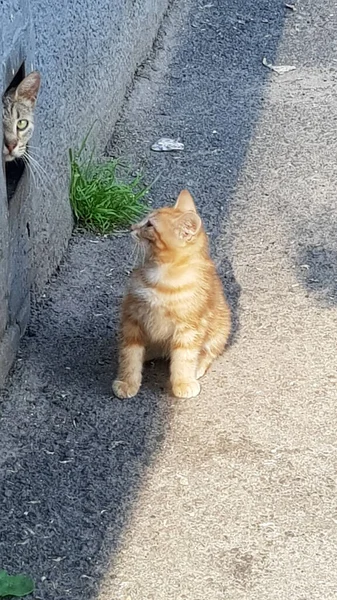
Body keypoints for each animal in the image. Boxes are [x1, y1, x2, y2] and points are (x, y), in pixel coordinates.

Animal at [111, 190, 230, 400]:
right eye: (145, 220)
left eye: (150, 225)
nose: (131, 227)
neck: (162, 278)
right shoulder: (132, 317)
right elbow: (129, 354)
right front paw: (127, 382)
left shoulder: (189, 328)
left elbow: (184, 358)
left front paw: (183, 382)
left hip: (221, 328)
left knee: (209, 352)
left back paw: (197, 368)